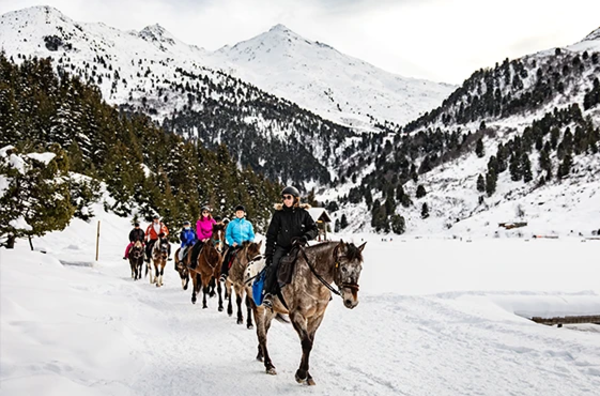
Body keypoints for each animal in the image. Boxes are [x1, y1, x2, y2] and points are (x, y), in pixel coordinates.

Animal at [248, 240, 366, 386]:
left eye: (360, 269)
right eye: (343, 268)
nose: (352, 301)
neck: (313, 279)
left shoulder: (316, 317)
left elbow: (309, 343)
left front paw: (307, 376)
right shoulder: (297, 315)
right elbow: (306, 343)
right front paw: (302, 374)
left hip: (272, 310)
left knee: (265, 331)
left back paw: (261, 355)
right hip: (258, 308)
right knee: (261, 334)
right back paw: (269, 365)